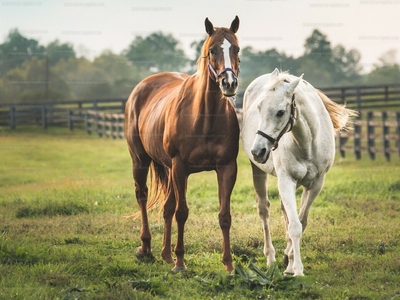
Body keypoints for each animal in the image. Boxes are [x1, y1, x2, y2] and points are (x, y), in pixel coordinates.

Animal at [125, 16, 239, 272]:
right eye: (212, 50)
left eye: (236, 49)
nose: (228, 83)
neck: (205, 117)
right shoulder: (180, 167)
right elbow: (182, 213)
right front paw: (180, 262)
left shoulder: (227, 168)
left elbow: (224, 215)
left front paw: (229, 265)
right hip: (140, 161)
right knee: (142, 196)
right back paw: (146, 248)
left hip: (167, 169)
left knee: (166, 206)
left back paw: (165, 254)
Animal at [241, 68, 356, 276]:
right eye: (259, 107)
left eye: (280, 112)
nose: (258, 151)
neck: (307, 143)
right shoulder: (287, 180)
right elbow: (294, 226)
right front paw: (298, 270)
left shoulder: (316, 184)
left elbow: (300, 222)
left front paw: (291, 262)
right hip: (259, 172)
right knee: (264, 210)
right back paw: (271, 259)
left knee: (286, 214)